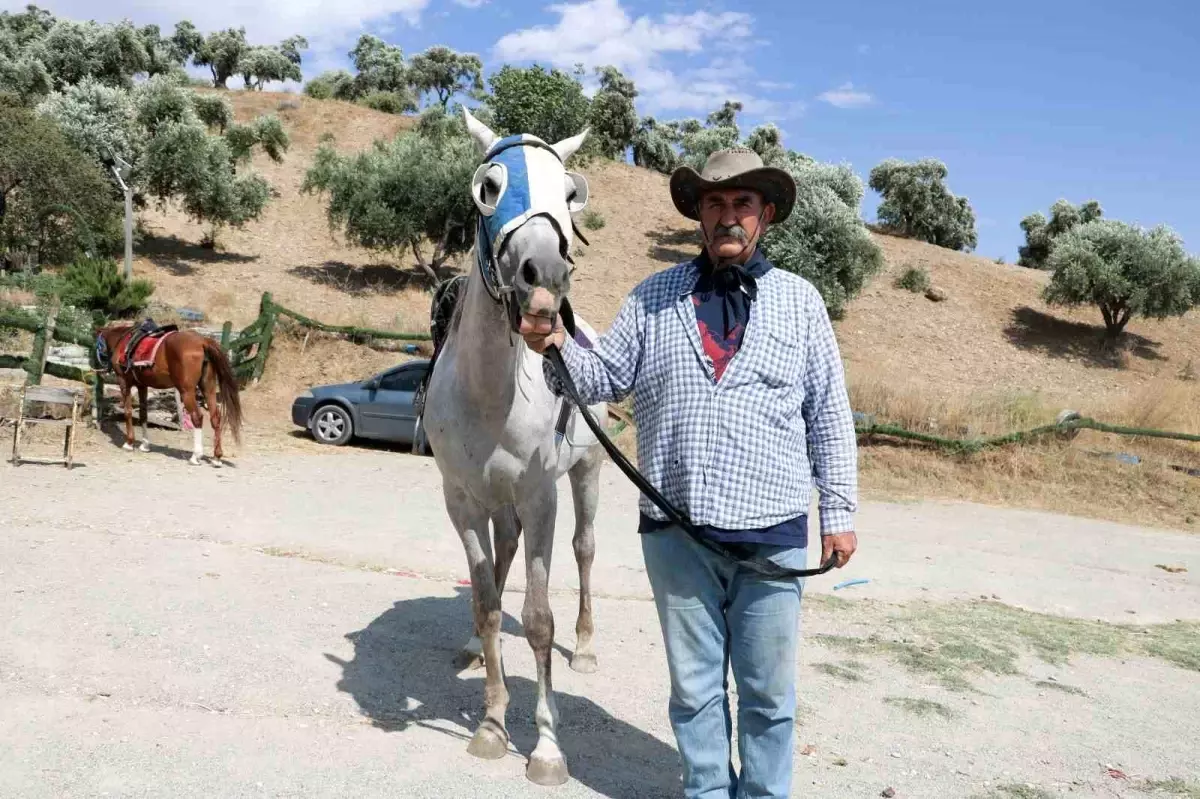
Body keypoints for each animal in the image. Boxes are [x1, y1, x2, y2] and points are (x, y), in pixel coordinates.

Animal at [97, 321, 242, 463]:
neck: (122, 340)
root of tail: (202, 342)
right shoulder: (142, 386)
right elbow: (143, 415)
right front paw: (145, 445)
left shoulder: (124, 383)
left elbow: (128, 412)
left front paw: (129, 443)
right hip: (208, 388)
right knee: (215, 418)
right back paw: (217, 457)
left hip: (187, 391)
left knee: (197, 417)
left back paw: (196, 456)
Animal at [424, 107, 609, 782]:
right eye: (489, 187)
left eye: (570, 194)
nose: (545, 276)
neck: (490, 392)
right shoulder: (462, 500)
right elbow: (484, 602)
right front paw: (492, 724)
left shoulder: (539, 498)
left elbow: (537, 619)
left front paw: (547, 748)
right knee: (503, 556)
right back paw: (475, 652)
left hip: (587, 473)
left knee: (584, 551)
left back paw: (585, 647)